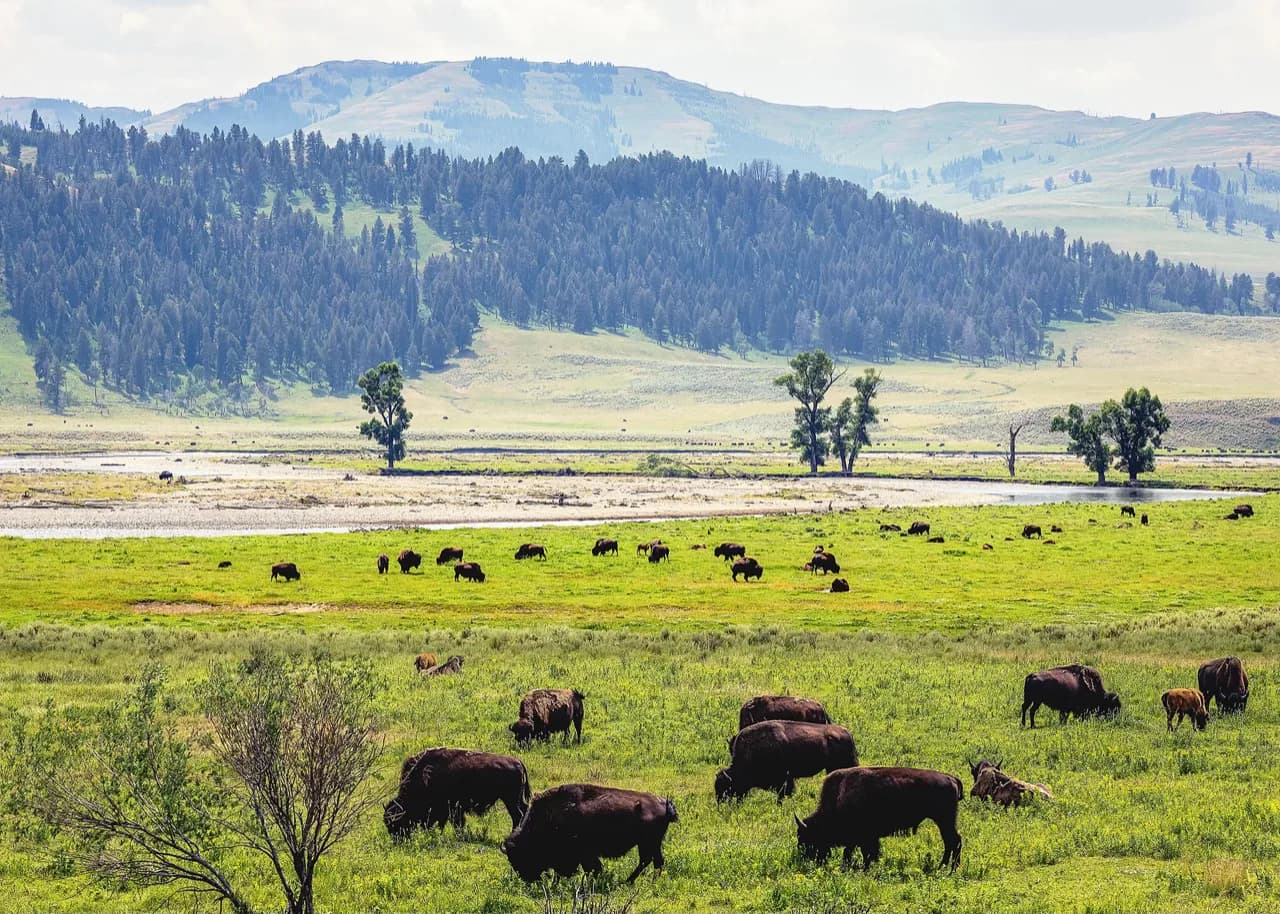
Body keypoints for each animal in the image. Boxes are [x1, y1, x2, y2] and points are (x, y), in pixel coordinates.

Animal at [383, 747, 530, 838]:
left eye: (397, 821)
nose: (397, 839)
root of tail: (518, 762)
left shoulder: (452, 809)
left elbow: (455, 823)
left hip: (510, 800)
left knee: (517, 815)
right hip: (515, 799)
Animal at [501, 784, 678, 883]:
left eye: (520, 856)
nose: (528, 879)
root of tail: (664, 804)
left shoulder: (584, 854)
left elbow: (592, 868)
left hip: (649, 842)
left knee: (650, 861)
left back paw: (630, 882)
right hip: (649, 843)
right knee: (653, 861)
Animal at [796, 767, 963, 871]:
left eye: (807, 838)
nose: (805, 859)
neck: (840, 795)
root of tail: (951, 778)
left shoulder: (864, 837)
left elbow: (862, 853)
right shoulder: (863, 838)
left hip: (944, 820)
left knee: (953, 841)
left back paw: (947, 868)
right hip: (945, 821)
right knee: (952, 841)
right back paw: (947, 867)